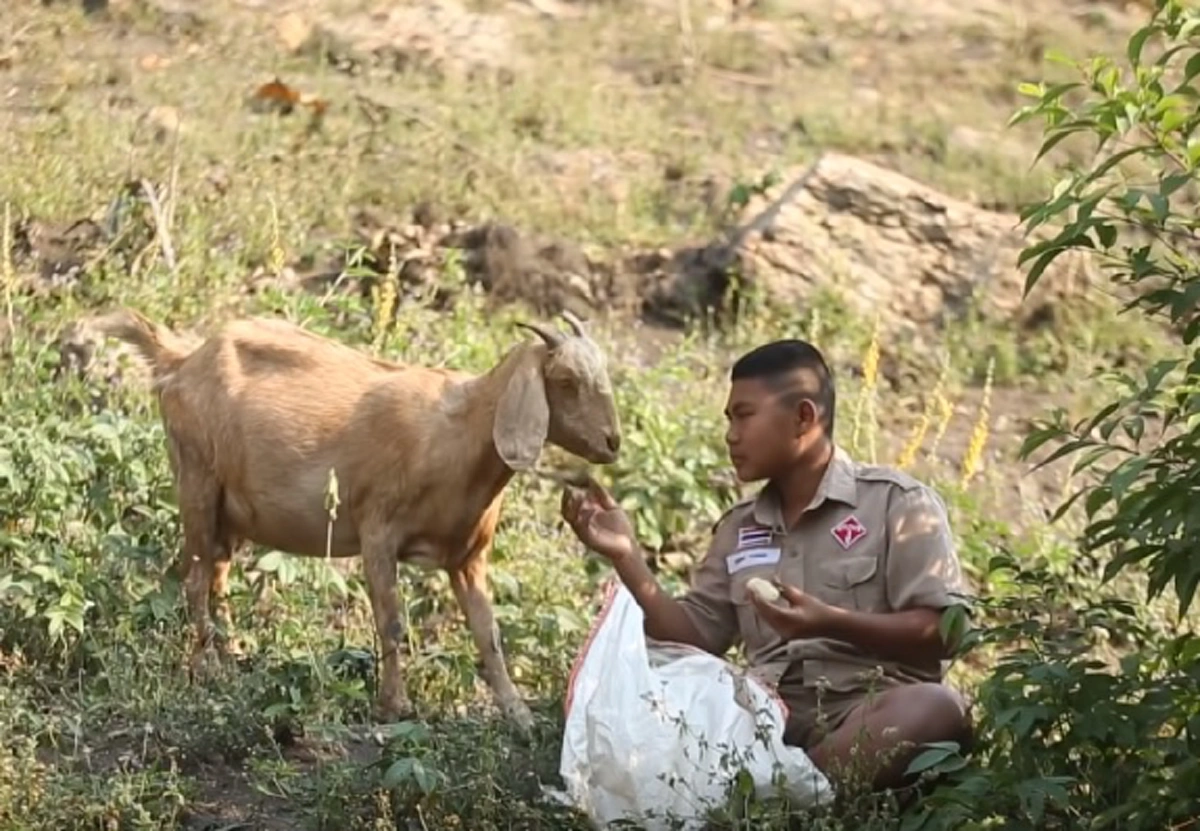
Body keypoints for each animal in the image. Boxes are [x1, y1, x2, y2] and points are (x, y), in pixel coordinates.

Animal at [88, 307, 624, 730]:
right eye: (565, 381)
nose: (612, 442)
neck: (460, 431)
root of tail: (181, 360)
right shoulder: (378, 531)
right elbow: (392, 622)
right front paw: (394, 706)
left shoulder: (468, 556)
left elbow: (488, 635)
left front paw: (519, 717)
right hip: (196, 478)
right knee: (196, 579)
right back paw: (207, 670)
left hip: (229, 511)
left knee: (216, 577)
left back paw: (233, 655)